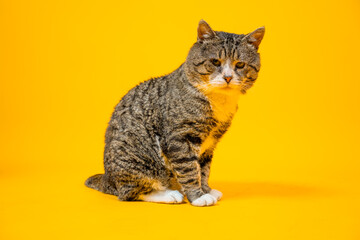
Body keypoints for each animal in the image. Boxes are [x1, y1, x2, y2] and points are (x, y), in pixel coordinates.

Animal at [84, 20, 264, 206]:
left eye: (240, 65)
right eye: (215, 61)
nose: (228, 77)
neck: (218, 100)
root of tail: (108, 178)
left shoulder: (210, 144)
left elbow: (203, 169)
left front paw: (206, 189)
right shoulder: (180, 137)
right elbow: (189, 169)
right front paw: (198, 196)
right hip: (136, 157)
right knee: (130, 192)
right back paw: (168, 194)